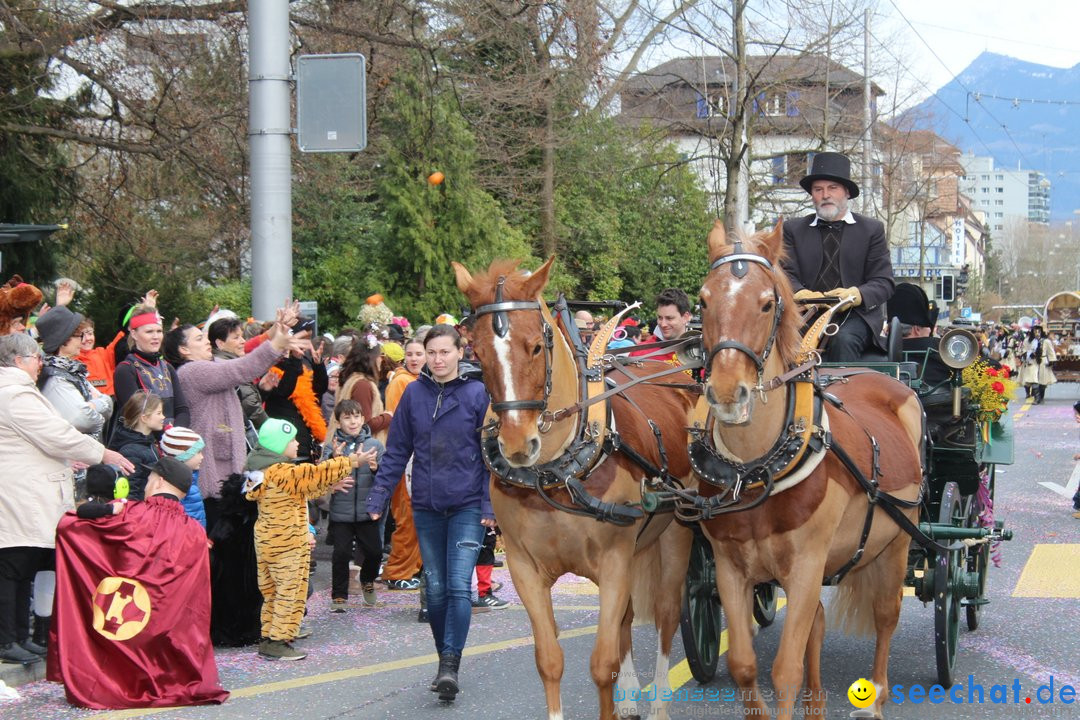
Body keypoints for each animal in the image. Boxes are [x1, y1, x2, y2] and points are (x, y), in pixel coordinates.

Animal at [453, 259, 691, 720]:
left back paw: (658, 704)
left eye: (535, 347)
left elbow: (602, 663)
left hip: (676, 532)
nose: (517, 445)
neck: (556, 471)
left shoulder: (614, 561)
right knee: (628, 619)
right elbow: (550, 660)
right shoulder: (525, 567)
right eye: (476, 352)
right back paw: (632, 696)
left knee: (667, 615)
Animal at [695, 222, 924, 716]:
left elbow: (785, 671)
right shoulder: (729, 567)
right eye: (703, 300)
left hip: (897, 542)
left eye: (766, 303)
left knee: (887, 615)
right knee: (817, 623)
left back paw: (877, 695)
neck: (758, 468)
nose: (728, 394)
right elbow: (744, 665)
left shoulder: (805, 566)